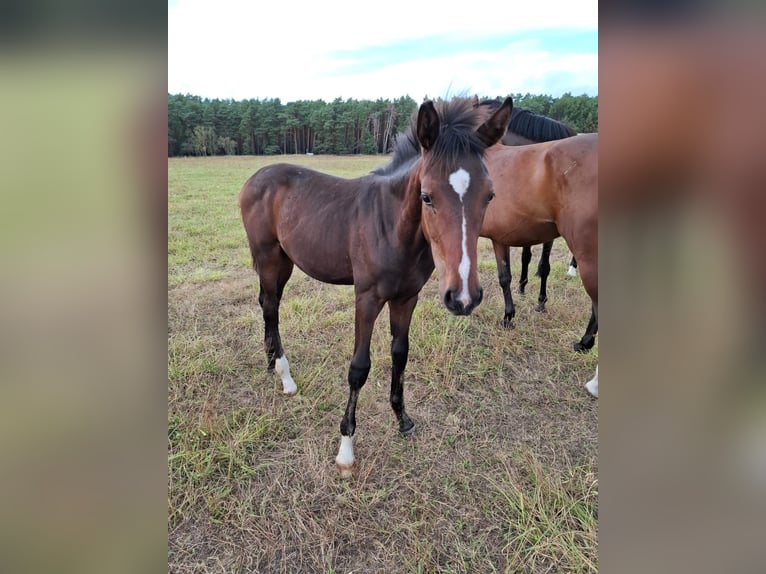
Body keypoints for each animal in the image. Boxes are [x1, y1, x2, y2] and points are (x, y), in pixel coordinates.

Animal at [240, 99, 516, 476]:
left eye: (490, 195)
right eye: (426, 196)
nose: (463, 297)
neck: (393, 227)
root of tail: (255, 177)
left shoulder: (407, 297)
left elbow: (400, 354)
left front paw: (403, 419)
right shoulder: (367, 298)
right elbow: (359, 368)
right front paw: (346, 449)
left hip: (283, 261)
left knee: (269, 304)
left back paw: (271, 363)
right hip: (268, 257)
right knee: (270, 305)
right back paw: (286, 378)